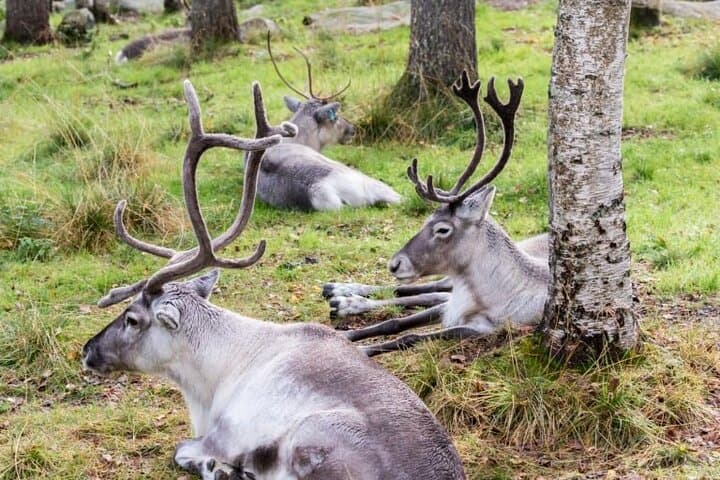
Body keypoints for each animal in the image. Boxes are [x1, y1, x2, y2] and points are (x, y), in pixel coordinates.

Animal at [82, 79, 465, 480]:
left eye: (132, 319)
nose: (88, 350)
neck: (210, 378)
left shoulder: (224, 432)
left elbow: (182, 448)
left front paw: (219, 466)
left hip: (310, 435)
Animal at [323, 72, 550, 357]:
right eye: (426, 220)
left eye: (443, 229)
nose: (394, 263)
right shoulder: (449, 306)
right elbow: (394, 321)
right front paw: (344, 336)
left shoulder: (482, 328)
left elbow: (409, 336)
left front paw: (362, 349)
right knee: (424, 289)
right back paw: (339, 293)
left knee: (426, 291)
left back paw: (343, 300)